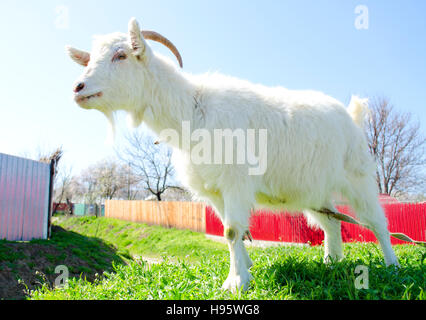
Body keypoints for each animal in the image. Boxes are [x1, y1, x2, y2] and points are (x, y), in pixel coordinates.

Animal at [66, 17, 400, 292]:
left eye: (121, 55)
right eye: (90, 59)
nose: (78, 88)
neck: (192, 110)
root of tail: (352, 116)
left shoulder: (236, 180)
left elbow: (231, 230)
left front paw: (236, 283)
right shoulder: (214, 189)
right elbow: (233, 232)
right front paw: (245, 270)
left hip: (358, 178)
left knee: (377, 223)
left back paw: (392, 265)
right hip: (314, 190)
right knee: (331, 224)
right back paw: (331, 262)